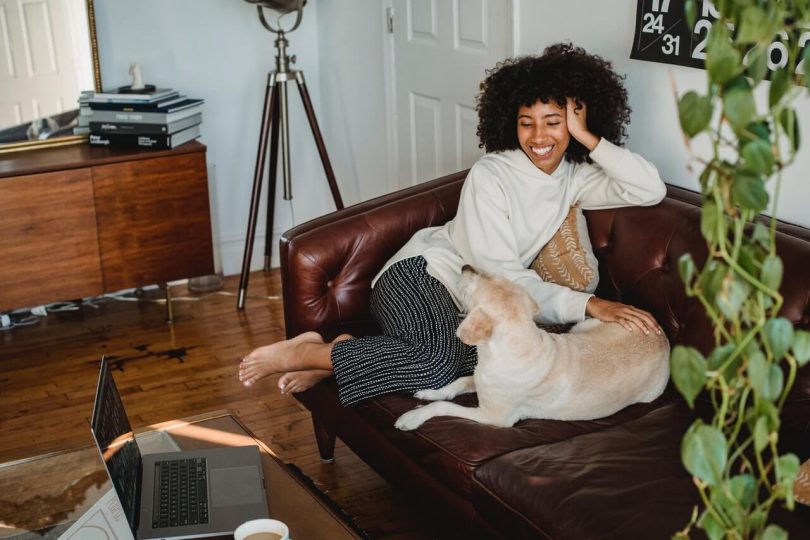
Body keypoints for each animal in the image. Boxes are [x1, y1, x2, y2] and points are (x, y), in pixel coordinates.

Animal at [392, 266, 668, 430]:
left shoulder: (493, 417)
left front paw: (412, 417)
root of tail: (663, 336)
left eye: (480, 281)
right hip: (583, 326)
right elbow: (458, 382)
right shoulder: (481, 379)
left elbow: (444, 407)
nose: (465, 266)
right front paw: (431, 392)